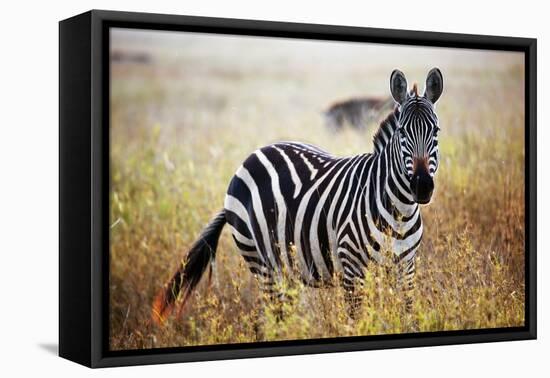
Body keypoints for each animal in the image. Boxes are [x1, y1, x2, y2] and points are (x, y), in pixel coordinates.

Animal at [153, 67, 446, 322]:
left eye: (436, 130)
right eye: (402, 132)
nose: (422, 186)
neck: (399, 211)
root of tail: (255, 154)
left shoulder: (406, 267)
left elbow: (406, 315)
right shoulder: (352, 267)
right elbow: (357, 320)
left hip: (287, 267)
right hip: (261, 262)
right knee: (274, 317)